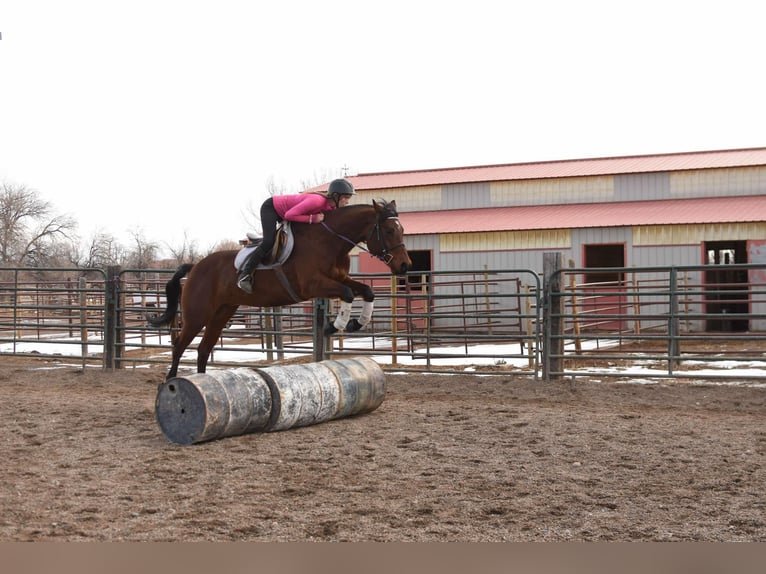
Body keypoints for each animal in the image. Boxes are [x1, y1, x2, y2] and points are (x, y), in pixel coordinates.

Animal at [147, 199, 412, 380]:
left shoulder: (339, 278)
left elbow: (366, 291)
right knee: (179, 346)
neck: (329, 241)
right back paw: (171, 382)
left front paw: (357, 323)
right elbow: (347, 294)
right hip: (198, 314)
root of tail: (195, 266)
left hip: (222, 312)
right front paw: (332, 326)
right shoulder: (313, 285)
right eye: (389, 230)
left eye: (402, 230)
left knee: (203, 349)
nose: (405, 265)